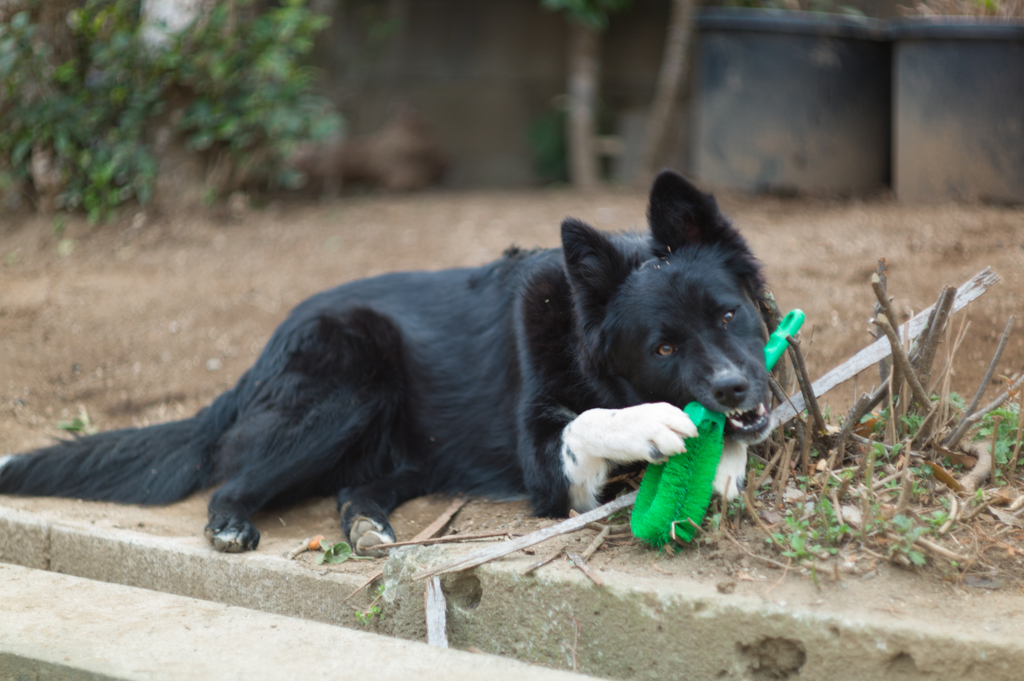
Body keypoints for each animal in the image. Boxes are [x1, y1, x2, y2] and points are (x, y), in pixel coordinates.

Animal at [0, 168, 770, 552]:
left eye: (728, 314)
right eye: (663, 347)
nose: (735, 391)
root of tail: (259, 358)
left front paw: (726, 461)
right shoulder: (548, 470)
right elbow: (588, 423)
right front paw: (656, 423)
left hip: (408, 444)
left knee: (354, 487)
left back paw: (367, 524)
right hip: (351, 381)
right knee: (231, 478)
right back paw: (230, 523)